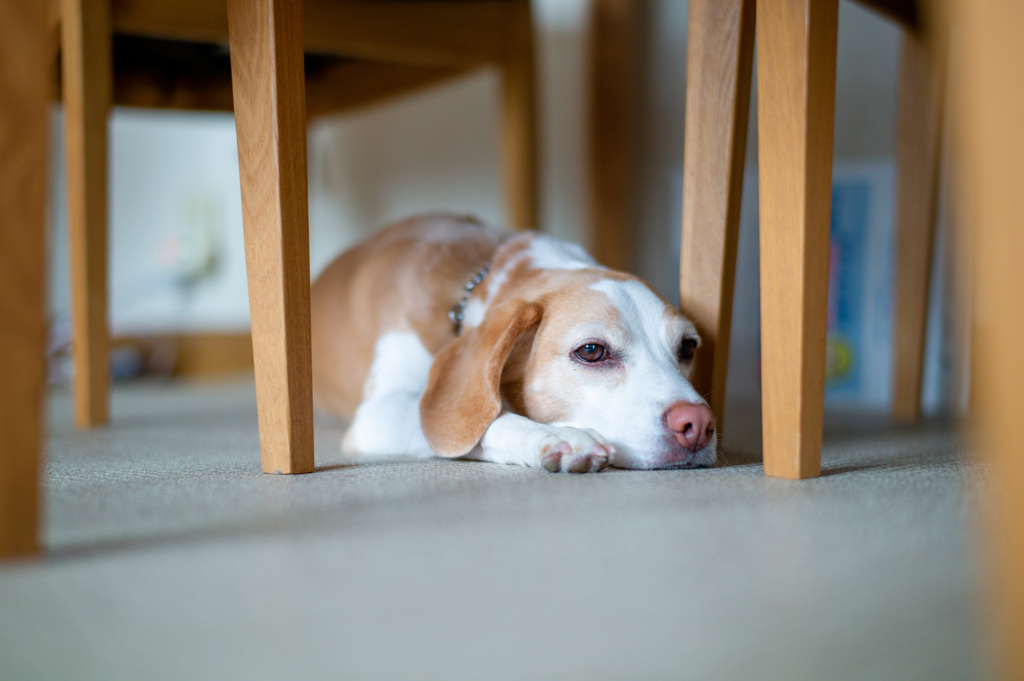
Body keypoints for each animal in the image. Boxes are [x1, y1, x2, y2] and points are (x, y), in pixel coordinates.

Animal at [307, 214, 716, 473]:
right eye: (592, 351)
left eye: (688, 347)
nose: (698, 424)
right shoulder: (379, 413)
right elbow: (482, 419)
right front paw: (556, 435)